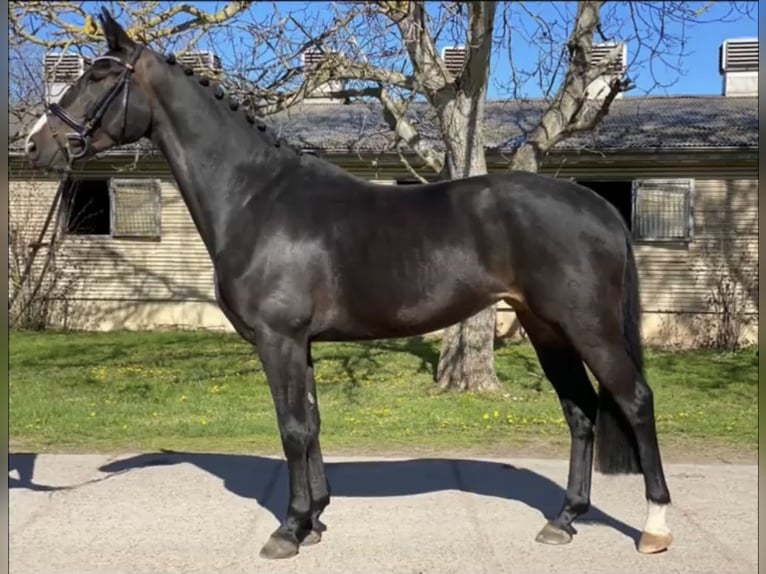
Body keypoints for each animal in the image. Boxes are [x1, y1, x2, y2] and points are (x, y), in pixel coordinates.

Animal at [22, 10, 672, 564]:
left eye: (99, 75)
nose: (36, 144)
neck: (256, 198)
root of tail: (597, 207)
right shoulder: (301, 344)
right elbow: (309, 424)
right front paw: (314, 520)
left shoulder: (279, 339)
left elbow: (291, 428)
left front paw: (287, 530)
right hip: (546, 327)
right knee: (580, 410)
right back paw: (564, 519)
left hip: (587, 327)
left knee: (635, 400)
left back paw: (655, 528)